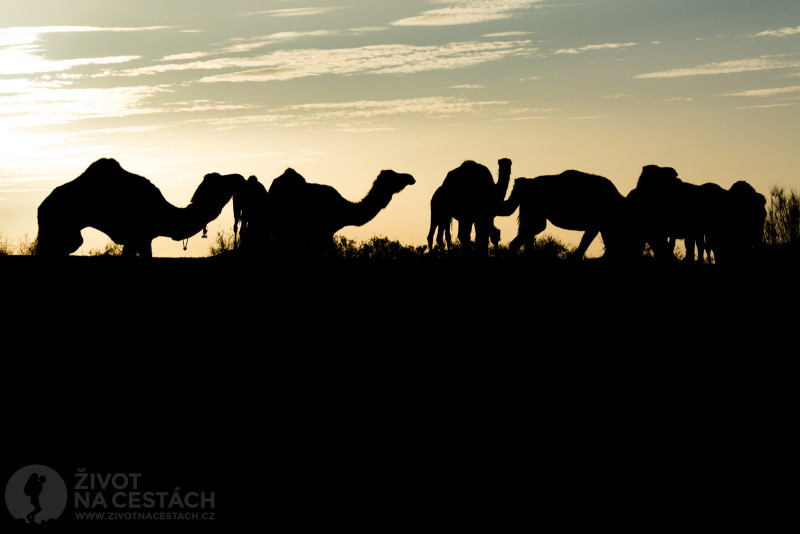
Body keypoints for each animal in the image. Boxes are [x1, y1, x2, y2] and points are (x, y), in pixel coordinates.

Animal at [35, 157, 247, 258]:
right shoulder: (139, 236)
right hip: (64, 231)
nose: (240, 177)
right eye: (220, 181)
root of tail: (41, 207)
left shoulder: (139, 239)